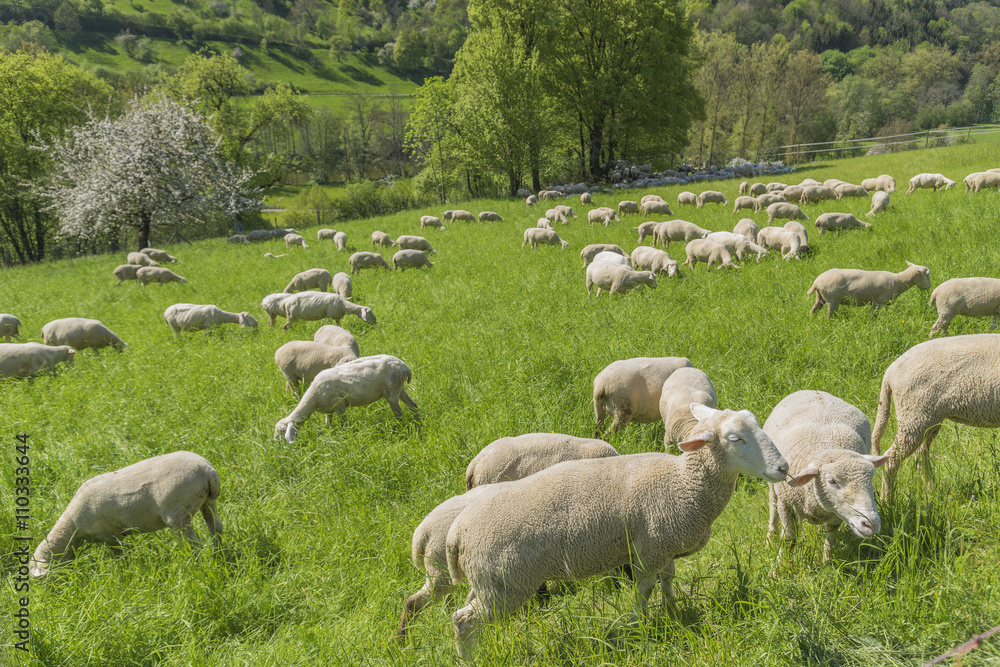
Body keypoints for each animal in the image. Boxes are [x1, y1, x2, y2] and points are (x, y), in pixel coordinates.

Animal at [28, 451, 222, 579]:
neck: (72, 528)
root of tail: (207, 471)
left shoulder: (110, 535)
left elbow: (119, 558)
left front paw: (123, 573)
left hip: (178, 512)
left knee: (193, 543)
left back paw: (195, 564)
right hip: (208, 501)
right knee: (216, 528)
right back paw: (219, 553)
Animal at [274, 354, 417, 442]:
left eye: (282, 432)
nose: (276, 445)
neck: (313, 400)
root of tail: (405, 367)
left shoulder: (339, 405)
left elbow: (343, 424)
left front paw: (345, 435)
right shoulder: (328, 409)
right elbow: (328, 425)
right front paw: (330, 435)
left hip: (391, 391)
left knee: (399, 413)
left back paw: (396, 428)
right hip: (399, 388)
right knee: (413, 405)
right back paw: (418, 422)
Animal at [765, 390, 887, 562]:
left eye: (871, 480)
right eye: (831, 481)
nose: (872, 524)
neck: (826, 447)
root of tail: (811, 391)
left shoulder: (837, 509)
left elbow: (831, 533)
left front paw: (827, 560)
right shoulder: (785, 501)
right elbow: (789, 537)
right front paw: (780, 565)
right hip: (773, 481)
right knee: (772, 503)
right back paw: (770, 537)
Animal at [871, 334, 1000, 499]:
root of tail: (889, 373)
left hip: (928, 417)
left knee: (921, 454)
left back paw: (932, 490)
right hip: (914, 414)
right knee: (893, 458)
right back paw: (887, 500)